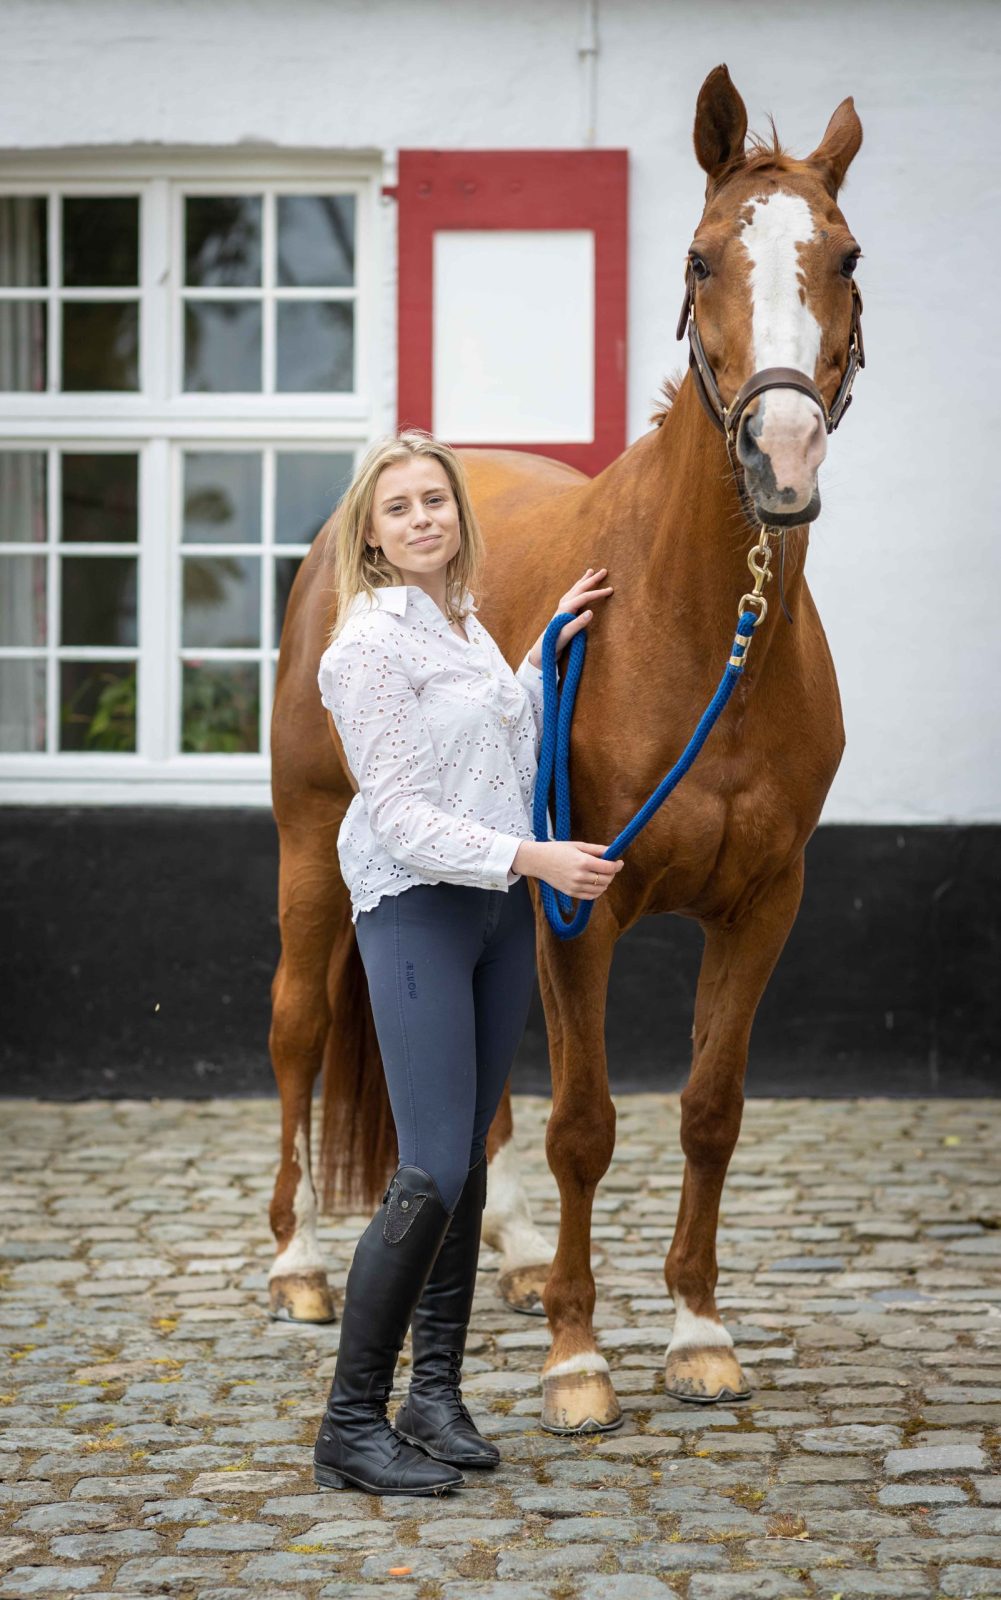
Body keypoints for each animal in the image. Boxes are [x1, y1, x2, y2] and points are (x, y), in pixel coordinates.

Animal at [267, 63, 864, 1434]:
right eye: (698, 257)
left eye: (847, 256)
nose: (781, 458)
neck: (697, 623)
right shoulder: (576, 901)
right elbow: (585, 1121)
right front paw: (579, 1360)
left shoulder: (764, 904)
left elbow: (707, 1111)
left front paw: (695, 1331)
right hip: (312, 852)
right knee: (295, 1033)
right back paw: (297, 1265)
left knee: (478, 1086)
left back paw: (522, 1252)